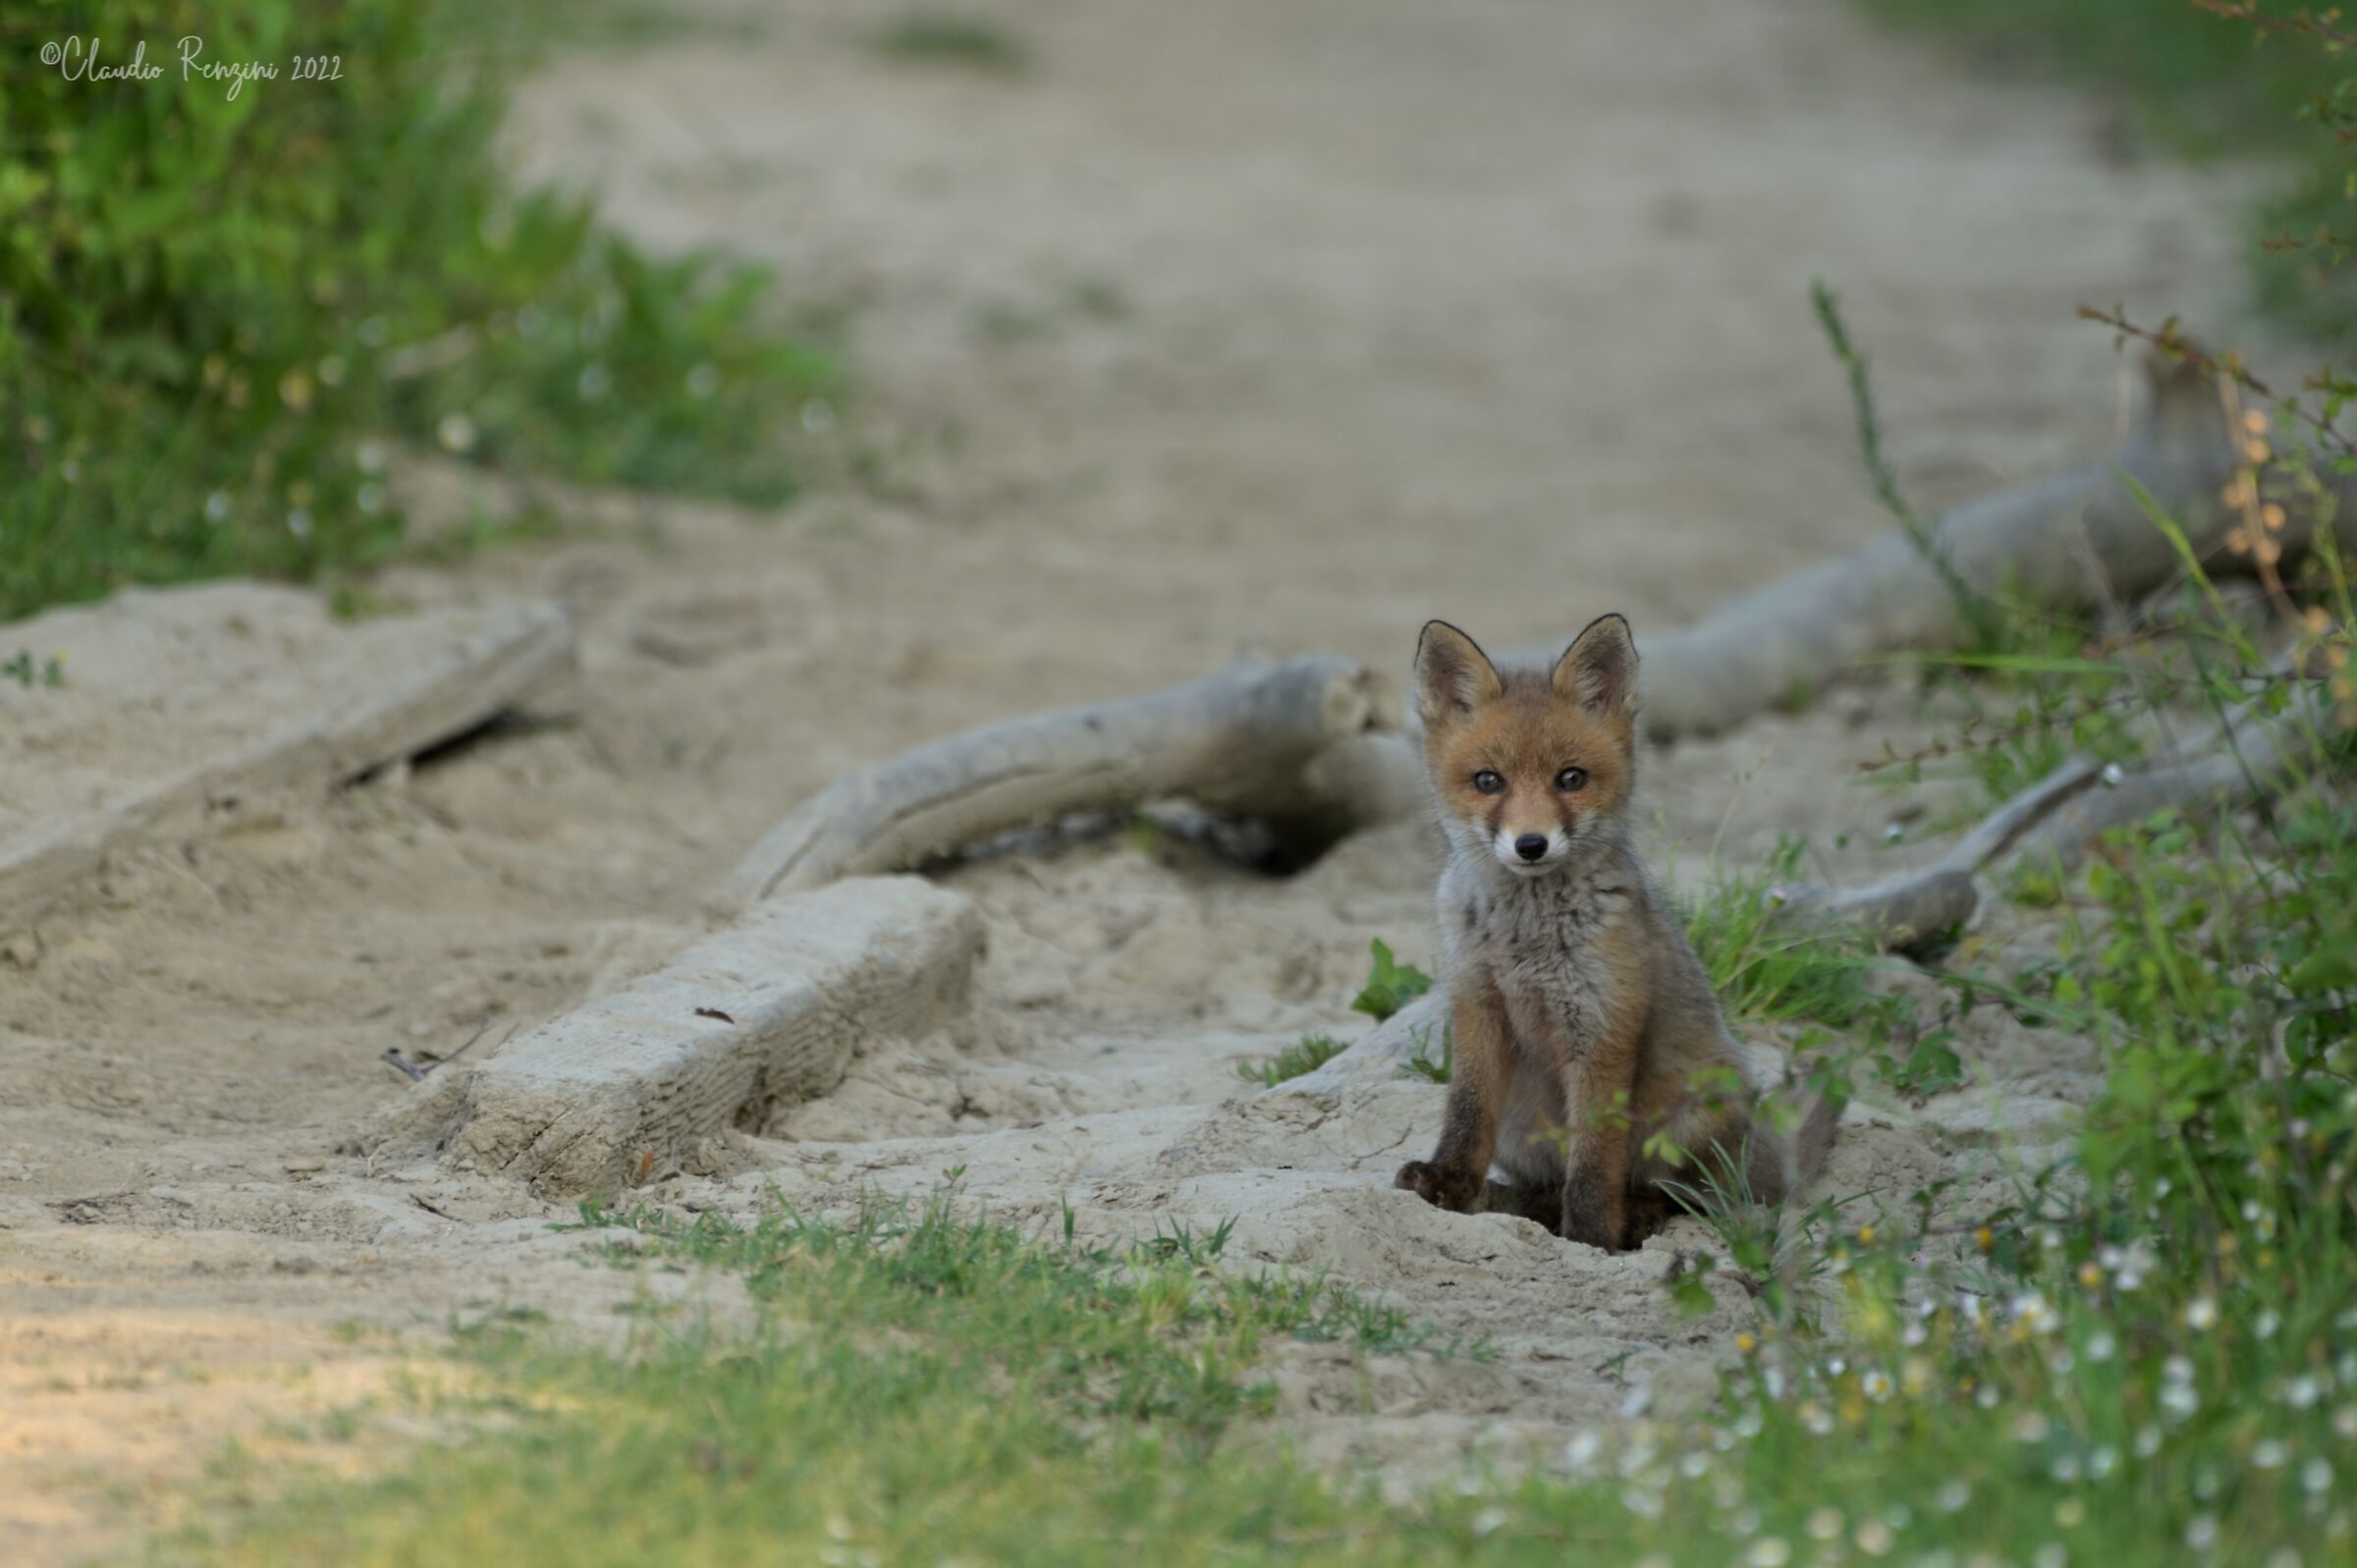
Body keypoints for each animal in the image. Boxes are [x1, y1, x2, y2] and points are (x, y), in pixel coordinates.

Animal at [1392, 613, 1839, 1252]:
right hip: (1521, 1128)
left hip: (1693, 1121)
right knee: (1548, 1179)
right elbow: (1466, 1113)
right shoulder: (1476, 1003)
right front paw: (1449, 1184)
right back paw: (1535, 1203)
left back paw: (1638, 1215)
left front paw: (1590, 1237)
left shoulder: (1602, 1023)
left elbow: (1596, 1156)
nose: (1531, 844)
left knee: (1687, 1195)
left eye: (1571, 778)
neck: (1527, 941)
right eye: (1488, 781)